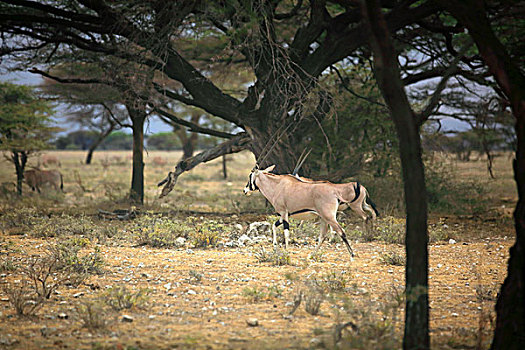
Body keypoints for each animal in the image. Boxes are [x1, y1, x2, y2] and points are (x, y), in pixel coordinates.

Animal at [244, 164, 378, 258]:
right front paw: (275, 246)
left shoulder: (284, 213)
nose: (245, 190)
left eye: (250, 176)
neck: (277, 186)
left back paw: (352, 253)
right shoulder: (283, 215)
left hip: (332, 216)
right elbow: (274, 226)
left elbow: (286, 232)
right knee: (323, 236)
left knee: (342, 230)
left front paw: (286, 251)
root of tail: (335, 191)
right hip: (325, 217)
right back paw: (313, 254)